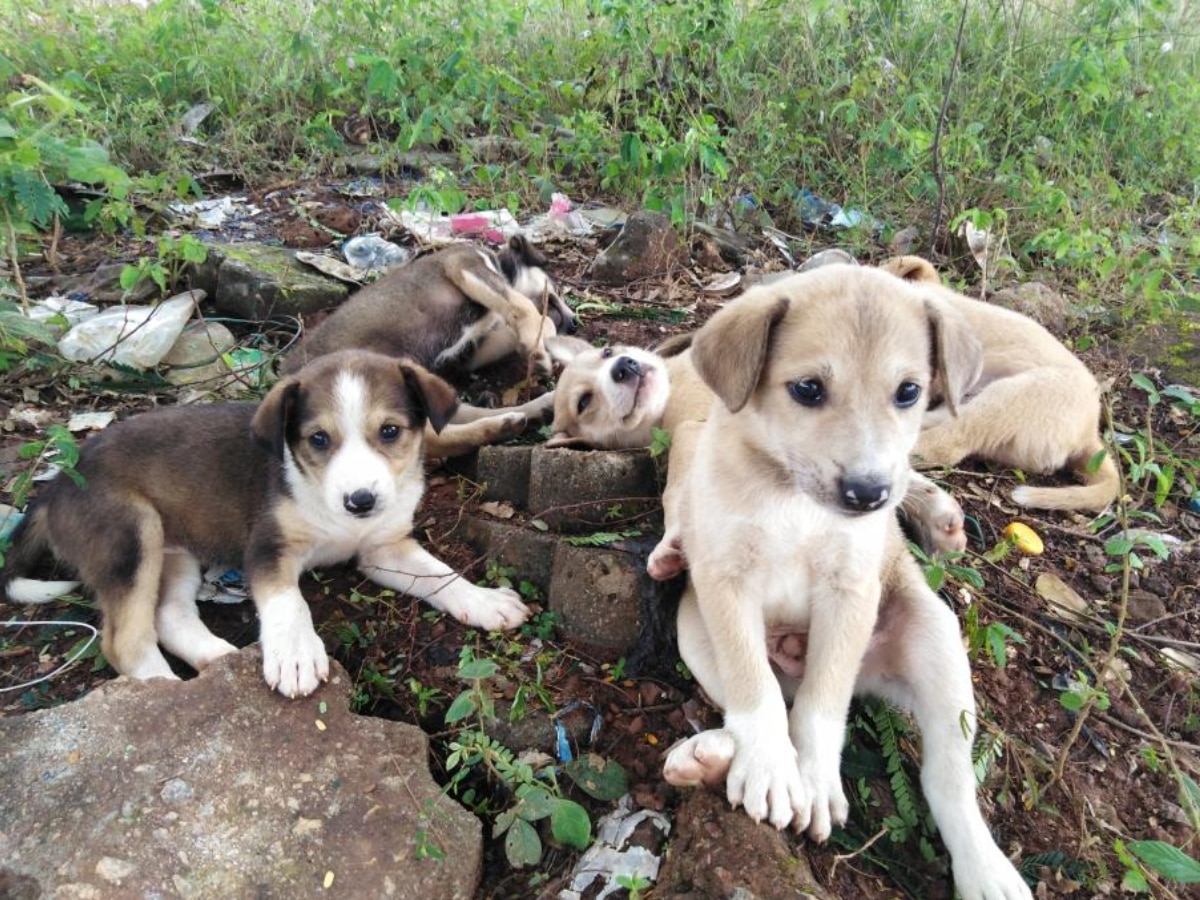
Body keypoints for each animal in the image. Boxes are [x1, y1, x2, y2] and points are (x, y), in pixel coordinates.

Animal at [3, 352, 530, 696]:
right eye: (318, 439)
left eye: (390, 432)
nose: (360, 502)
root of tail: (55, 486)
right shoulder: (267, 549)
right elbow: (288, 602)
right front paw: (295, 655)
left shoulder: (383, 548)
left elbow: (442, 575)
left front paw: (484, 601)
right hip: (131, 533)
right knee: (126, 643)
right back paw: (174, 692)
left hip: (176, 551)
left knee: (168, 616)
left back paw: (217, 659)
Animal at [657, 266, 1032, 900]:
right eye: (808, 389)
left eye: (908, 392)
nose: (869, 494)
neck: (791, 495)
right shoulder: (725, 580)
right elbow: (755, 692)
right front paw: (775, 771)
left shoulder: (851, 591)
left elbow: (820, 706)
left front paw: (813, 781)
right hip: (693, 630)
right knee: (759, 696)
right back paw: (716, 758)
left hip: (936, 641)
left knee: (947, 780)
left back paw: (987, 872)